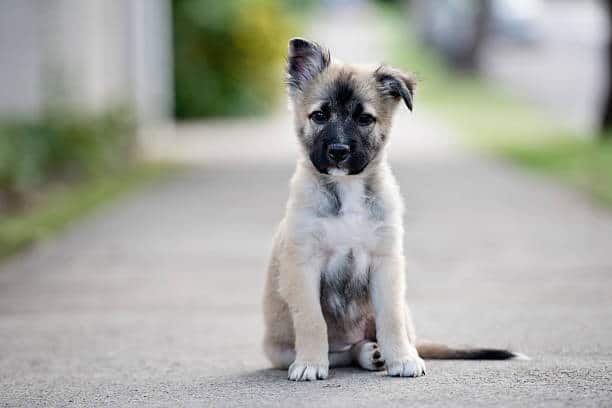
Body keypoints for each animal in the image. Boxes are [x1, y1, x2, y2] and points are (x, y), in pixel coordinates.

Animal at [262, 38, 520, 382]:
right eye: (319, 115)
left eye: (365, 119)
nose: (338, 151)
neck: (347, 188)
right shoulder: (303, 265)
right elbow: (312, 321)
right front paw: (310, 363)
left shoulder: (386, 263)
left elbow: (391, 319)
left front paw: (403, 359)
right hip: (279, 350)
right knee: (340, 353)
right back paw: (361, 354)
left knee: (382, 337)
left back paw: (380, 353)